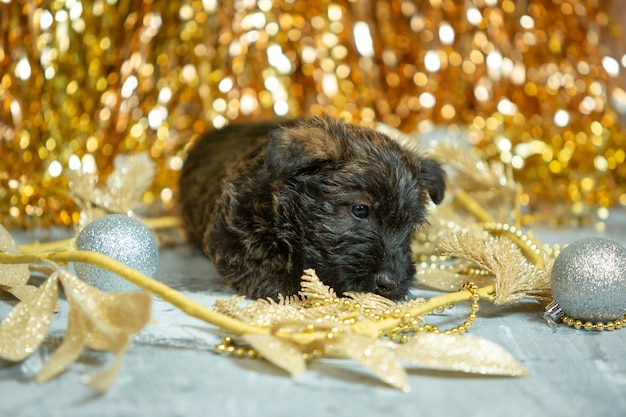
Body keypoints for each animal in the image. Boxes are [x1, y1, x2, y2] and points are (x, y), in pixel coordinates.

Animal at [178, 115, 446, 300]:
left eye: (410, 227)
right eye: (360, 209)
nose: (389, 284)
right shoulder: (229, 235)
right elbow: (257, 260)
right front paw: (287, 284)